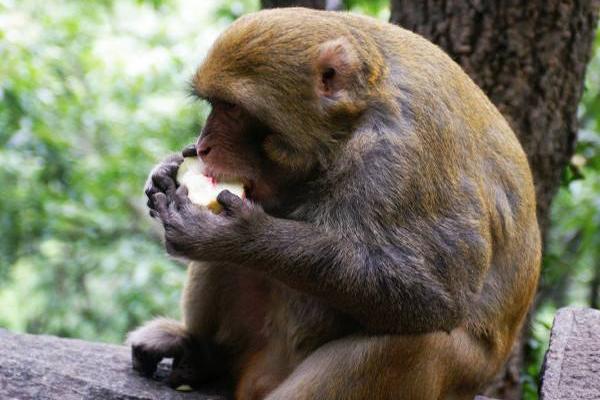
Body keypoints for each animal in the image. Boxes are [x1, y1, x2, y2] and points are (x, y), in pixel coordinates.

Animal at [125, 7, 540, 400]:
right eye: (214, 104)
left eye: (232, 107)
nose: (203, 146)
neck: (358, 113)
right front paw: (163, 175)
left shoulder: (406, 155)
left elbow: (439, 297)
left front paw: (233, 237)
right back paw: (203, 355)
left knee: (415, 343)